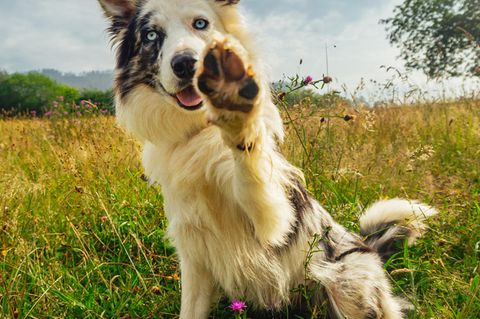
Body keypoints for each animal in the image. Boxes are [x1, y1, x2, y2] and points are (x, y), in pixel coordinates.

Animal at [98, 1, 438, 318]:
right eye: (151, 35)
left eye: (200, 23)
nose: (185, 64)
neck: (196, 132)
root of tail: (370, 248)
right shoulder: (194, 255)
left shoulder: (272, 216)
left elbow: (250, 169)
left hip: (344, 283)